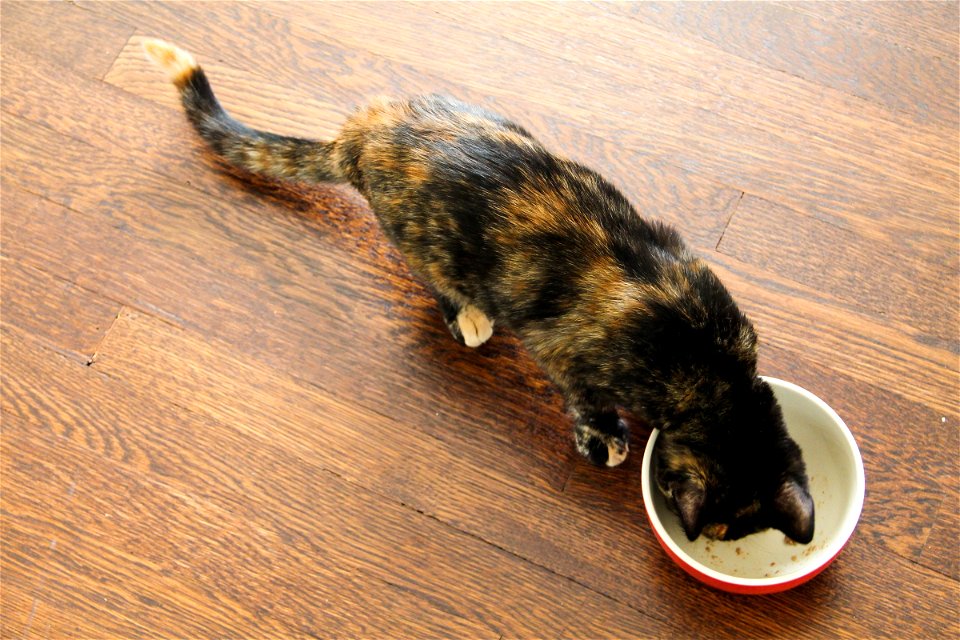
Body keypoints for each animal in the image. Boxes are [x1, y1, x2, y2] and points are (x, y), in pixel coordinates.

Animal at [146, 38, 812, 540]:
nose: (701, 534)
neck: (712, 370)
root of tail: (361, 136)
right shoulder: (570, 359)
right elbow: (584, 403)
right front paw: (604, 439)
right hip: (426, 246)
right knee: (439, 283)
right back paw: (468, 318)